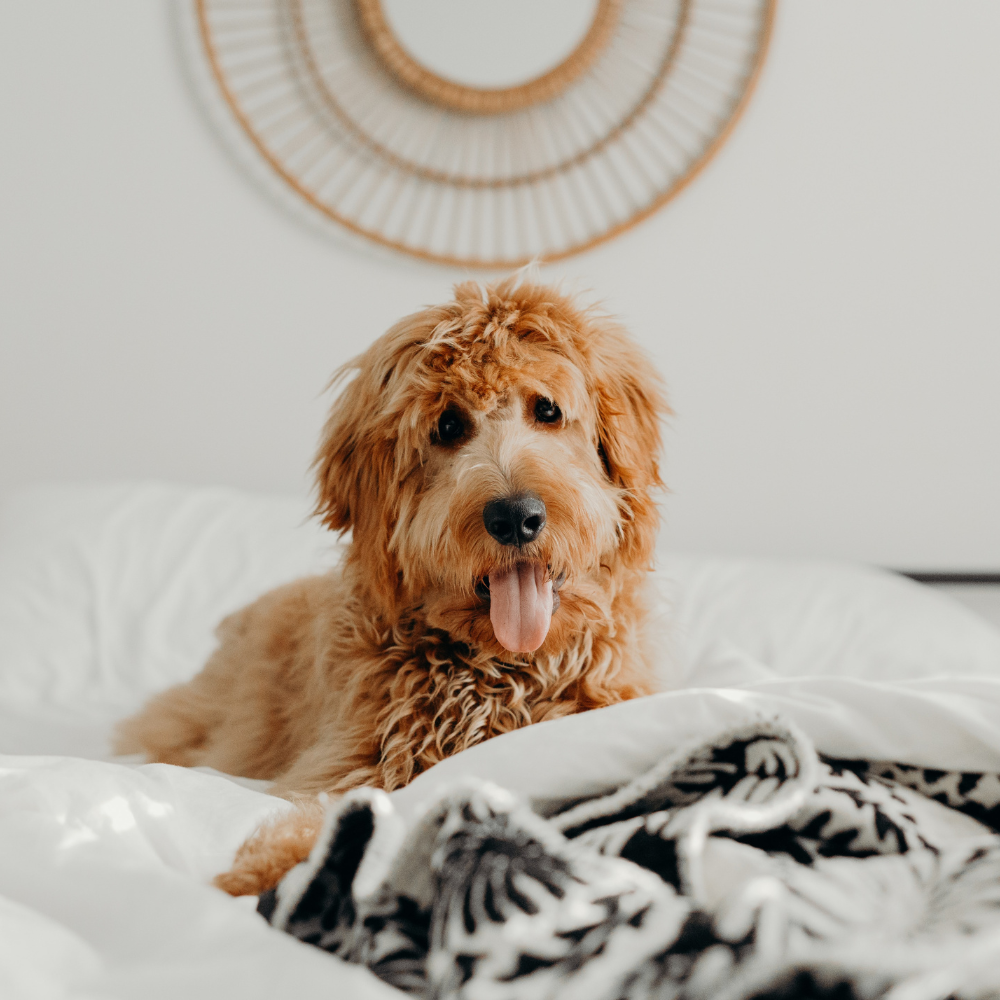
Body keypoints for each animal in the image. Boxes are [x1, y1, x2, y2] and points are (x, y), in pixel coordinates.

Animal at [115, 278, 664, 896]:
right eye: (448, 426)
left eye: (547, 409)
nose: (515, 517)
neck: (501, 673)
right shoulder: (353, 760)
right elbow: (325, 808)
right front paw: (275, 865)